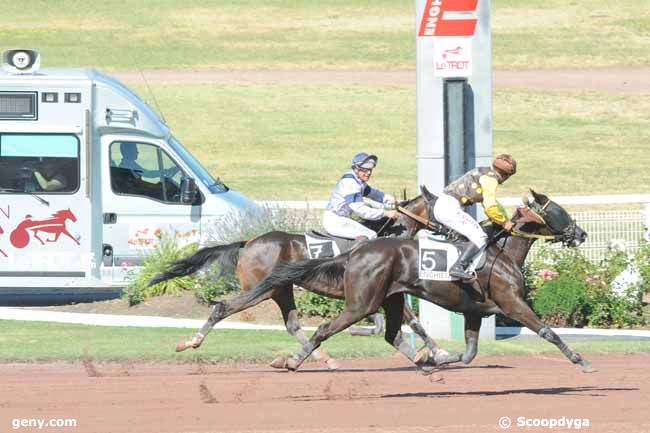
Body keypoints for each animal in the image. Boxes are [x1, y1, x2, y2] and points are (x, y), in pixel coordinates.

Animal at [150, 194, 448, 370]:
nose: (447, 230)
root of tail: (248, 242)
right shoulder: (380, 293)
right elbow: (410, 323)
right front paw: (437, 353)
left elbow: (407, 324)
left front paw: (432, 352)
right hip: (262, 289)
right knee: (223, 307)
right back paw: (192, 341)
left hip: (281, 290)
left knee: (292, 324)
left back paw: (320, 357)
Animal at [209, 186, 592, 372]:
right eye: (560, 211)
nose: (581, 233)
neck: (499, 254)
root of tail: (249, 241)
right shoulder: (512, 304)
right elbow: (547, 331)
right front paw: (581, 360)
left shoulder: (473, 311)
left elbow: (466, 353)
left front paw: (434, 358)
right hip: (297, 293)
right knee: (303, 325)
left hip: (295, 291)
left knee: (301, 325)